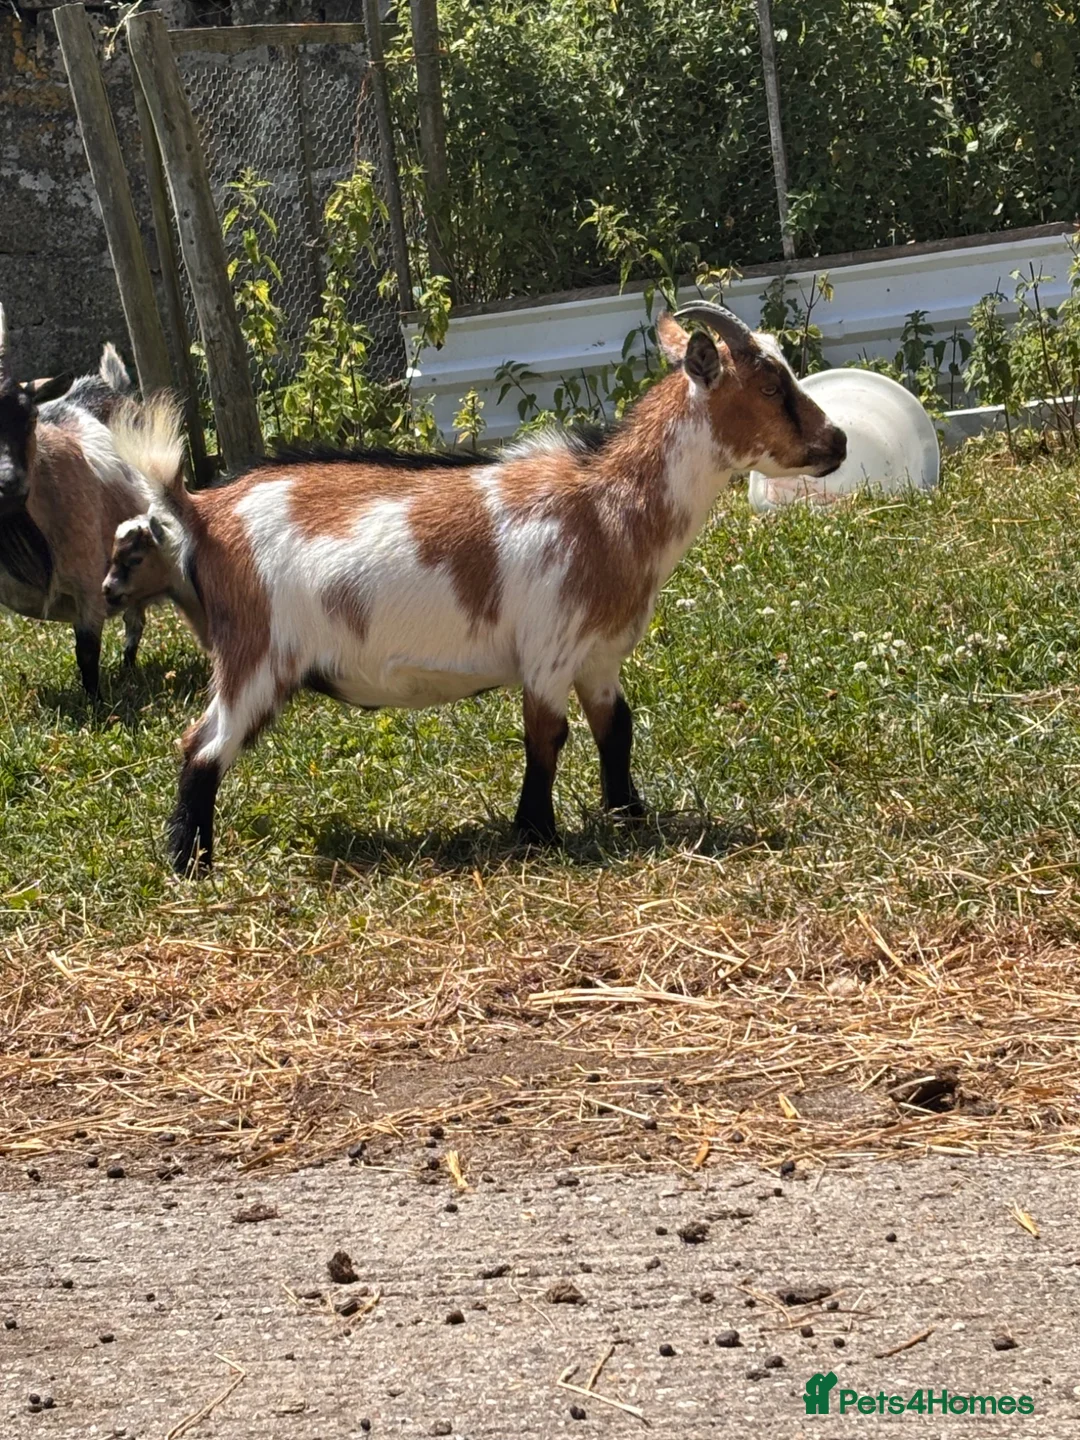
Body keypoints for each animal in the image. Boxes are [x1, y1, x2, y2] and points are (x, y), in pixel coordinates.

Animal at [0, 306, 158, 693]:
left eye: (30, 415)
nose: (9, 483)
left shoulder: (89, 581)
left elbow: (87, 651)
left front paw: (96, 701)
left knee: (135, 619)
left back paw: (128, 668)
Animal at [106, 306, 846, 872]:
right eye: (772, 386)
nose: (837, 440)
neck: (606, 505)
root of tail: (205, 510)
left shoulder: (598, 656)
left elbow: (616, 728)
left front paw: (628, 814)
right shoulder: (548, 651)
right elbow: (547, 736)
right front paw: (537, 833)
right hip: (256, 659)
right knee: (201, 747)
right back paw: (190, 864)